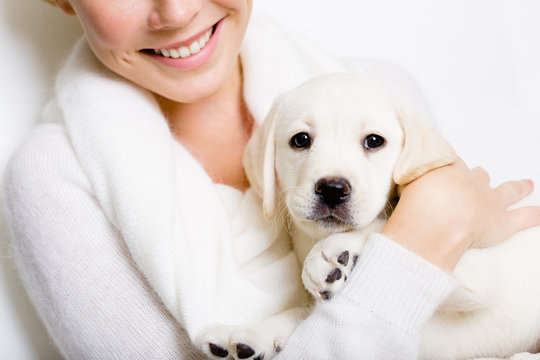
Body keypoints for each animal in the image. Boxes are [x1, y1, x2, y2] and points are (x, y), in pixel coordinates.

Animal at [243, 74, 540, 360]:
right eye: (300, 140)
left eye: (374, 141)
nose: (332, 189)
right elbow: (302, 315)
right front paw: (257, 332)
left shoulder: (477, 273)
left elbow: (388, 226)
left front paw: (336, 252)